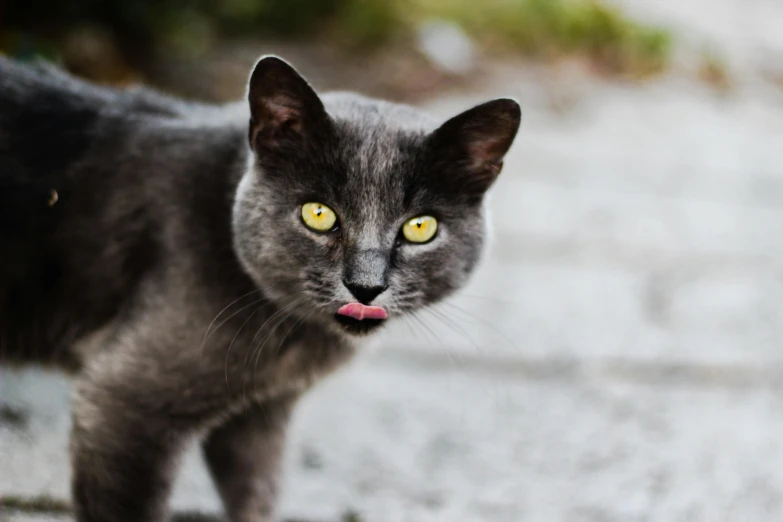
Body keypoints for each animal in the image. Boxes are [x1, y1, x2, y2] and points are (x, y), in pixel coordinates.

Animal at [1, 54, 520, 516]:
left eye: (420, 228)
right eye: (318, 214)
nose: (365, 286)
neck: (290, 343)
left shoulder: (260, 416)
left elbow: (256, 494)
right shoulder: (123, 405)